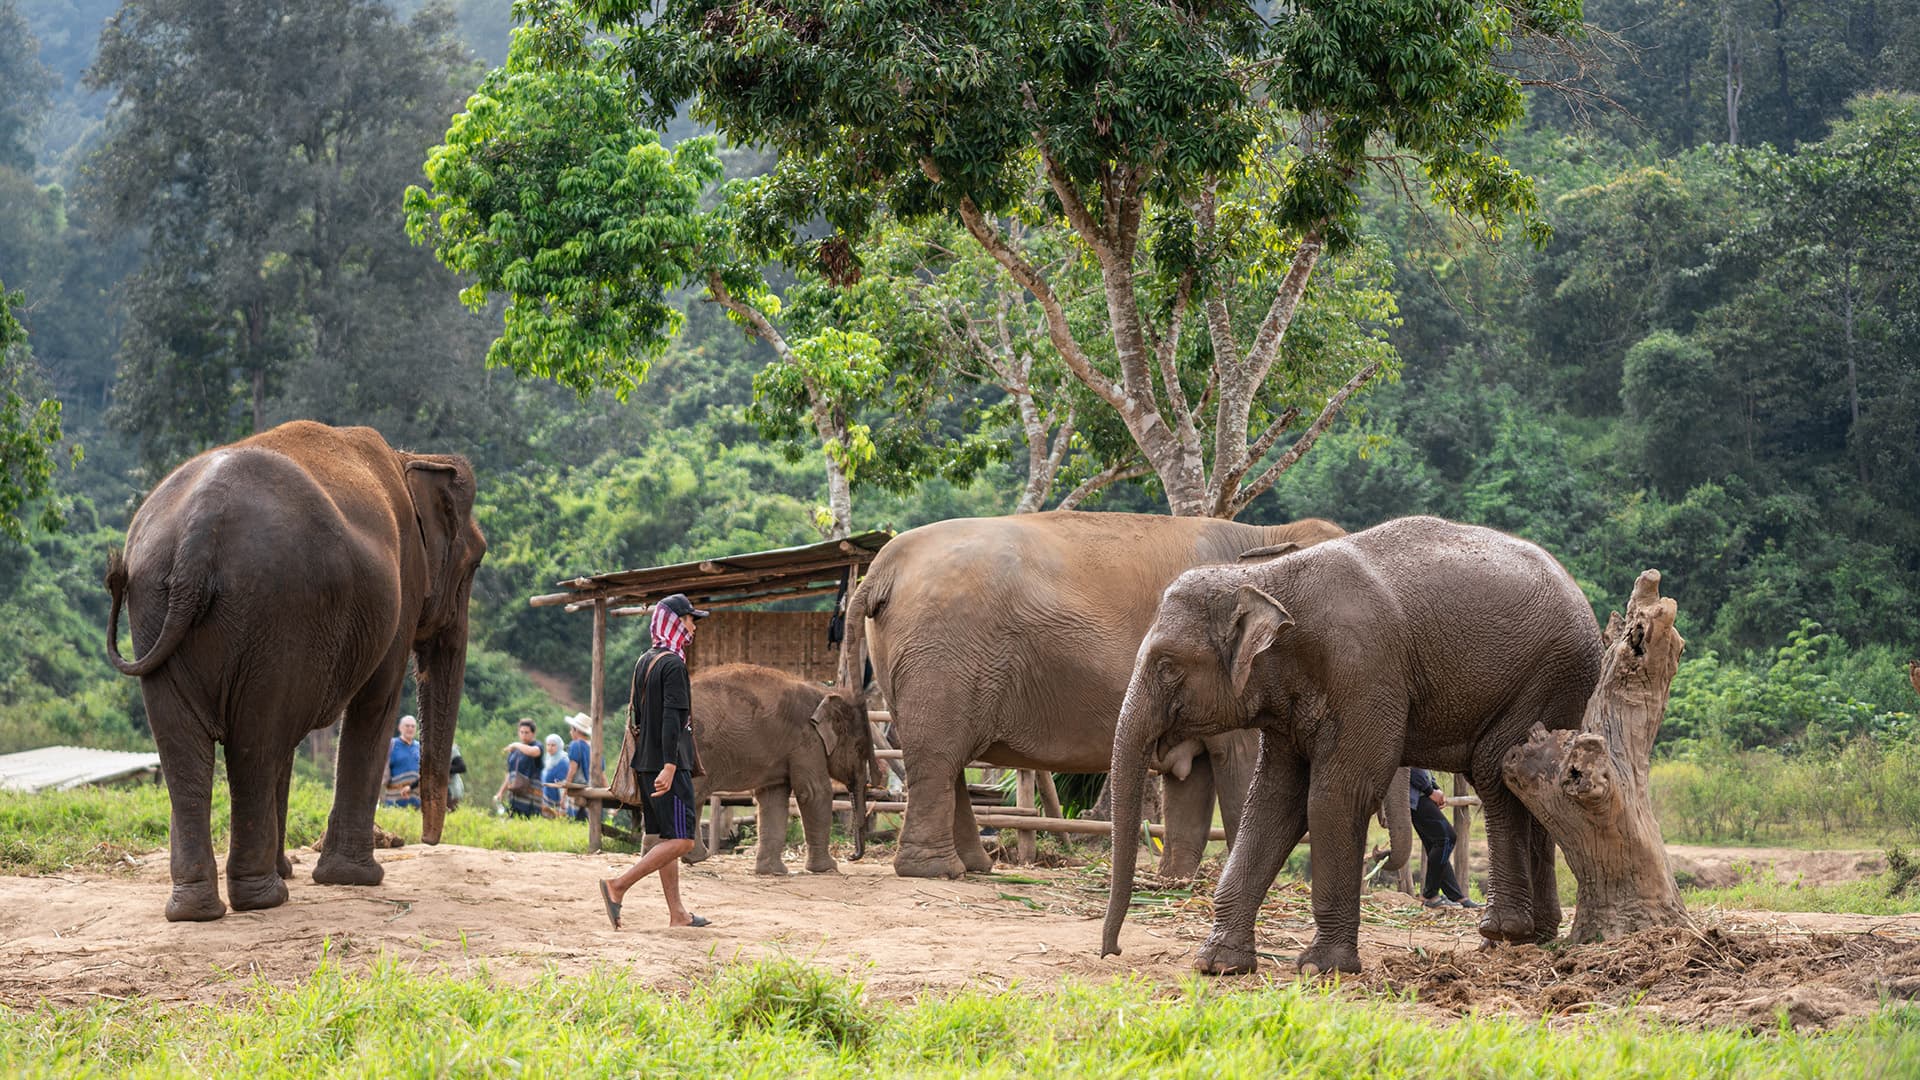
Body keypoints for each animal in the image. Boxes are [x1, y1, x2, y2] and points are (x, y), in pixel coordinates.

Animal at [105, 421, 485, 921]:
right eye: (476, 560)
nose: (428, 840)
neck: (411, 458)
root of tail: (199, 529)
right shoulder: (402, 586)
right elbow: (375, 705)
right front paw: (356, 878)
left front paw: (296, 870)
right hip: (278, 610)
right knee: (256, 740)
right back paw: (263, 898)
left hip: (156, 607)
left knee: (189, 746)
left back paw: (197, 909)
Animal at [681, 663, 875, 875]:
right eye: (860, 749)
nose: (851, 856)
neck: (825, 693)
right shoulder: (807, 740)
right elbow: (814, 792)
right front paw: (828, 868)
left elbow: (773, 798)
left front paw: (773, 871)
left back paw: (692, 858)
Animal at [851, 510, 1348, 879]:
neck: (1269, 537)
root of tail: (881, 566)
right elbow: (1240, 762)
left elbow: (1193, 777)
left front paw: (1177, 880)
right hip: (943, 653)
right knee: (938, 754)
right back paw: (938, 871)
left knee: (942, 757)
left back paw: (973, 868)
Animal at [1101, 515, 1602, 976]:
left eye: (1167, 665)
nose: (1114, 952)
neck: (1269, 579)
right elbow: (1273, 801)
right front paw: (1218, 964)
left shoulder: (1364, 670)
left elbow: (1336, 796)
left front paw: (1322, 968)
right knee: (1526, 783)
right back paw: (1535, 935)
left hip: (1546, 678)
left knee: (1494, 773)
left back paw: (1501, 931)